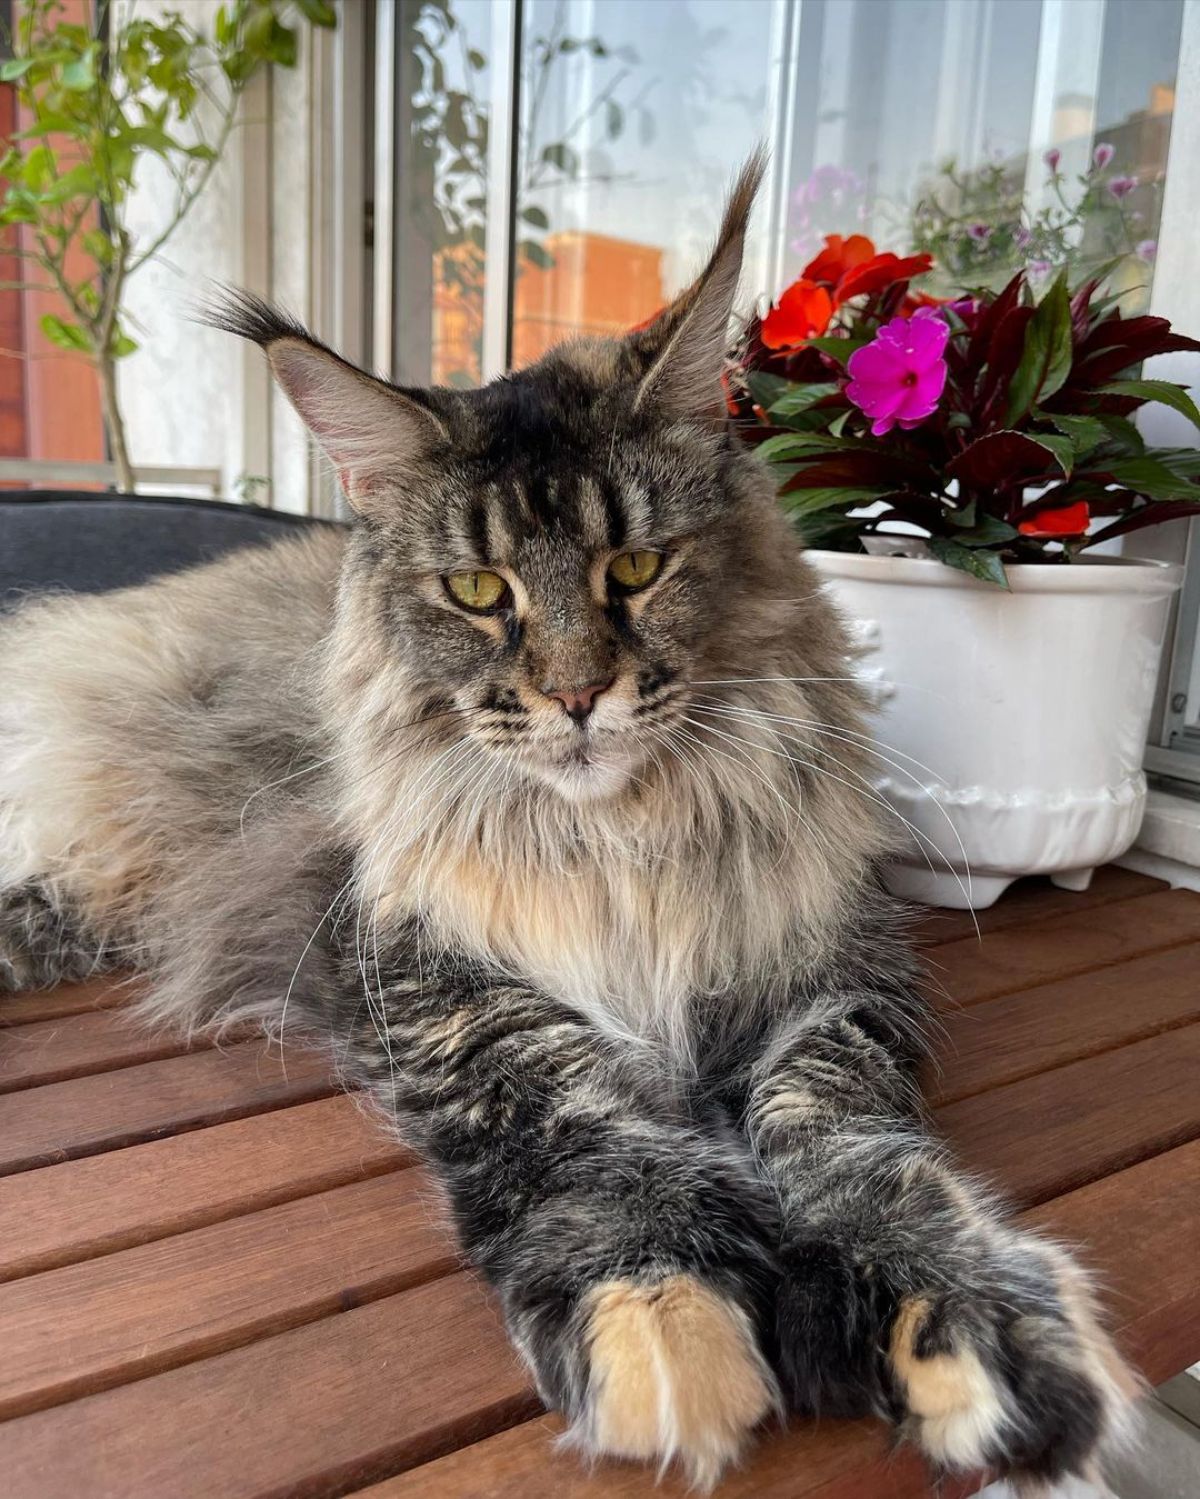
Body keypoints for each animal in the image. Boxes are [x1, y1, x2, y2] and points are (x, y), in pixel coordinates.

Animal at [0, 158, 1132, 1493]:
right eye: (478, 591)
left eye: (635, 567)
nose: (579, 694)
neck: (618, 848)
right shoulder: (436, 974)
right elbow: (577, 1111)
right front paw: (665, 1303)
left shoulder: (826, 977)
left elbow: (843, 1135)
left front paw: (963, 1314)